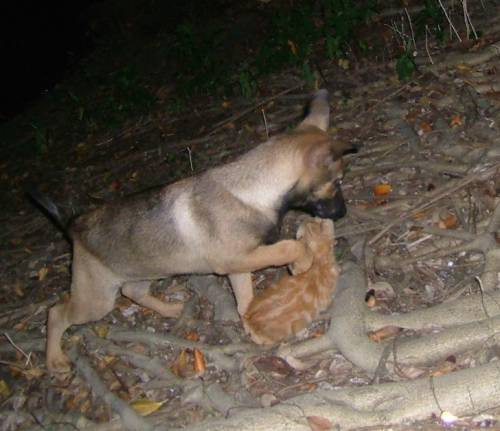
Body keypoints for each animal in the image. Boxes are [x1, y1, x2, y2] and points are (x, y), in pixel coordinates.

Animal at [33, 89, 349, 372]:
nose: (343, 213)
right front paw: (303, 262)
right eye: (337, 182)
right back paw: (54, 359)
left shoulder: (239, 266)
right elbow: (287, 247)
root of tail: (75, 224)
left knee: (131, 290)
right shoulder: (235, 260)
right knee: (56, 313)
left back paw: (170, 310)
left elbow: (246, 303)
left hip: (145, 271)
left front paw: (258, 324)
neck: (253, 190)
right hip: (95, 299)